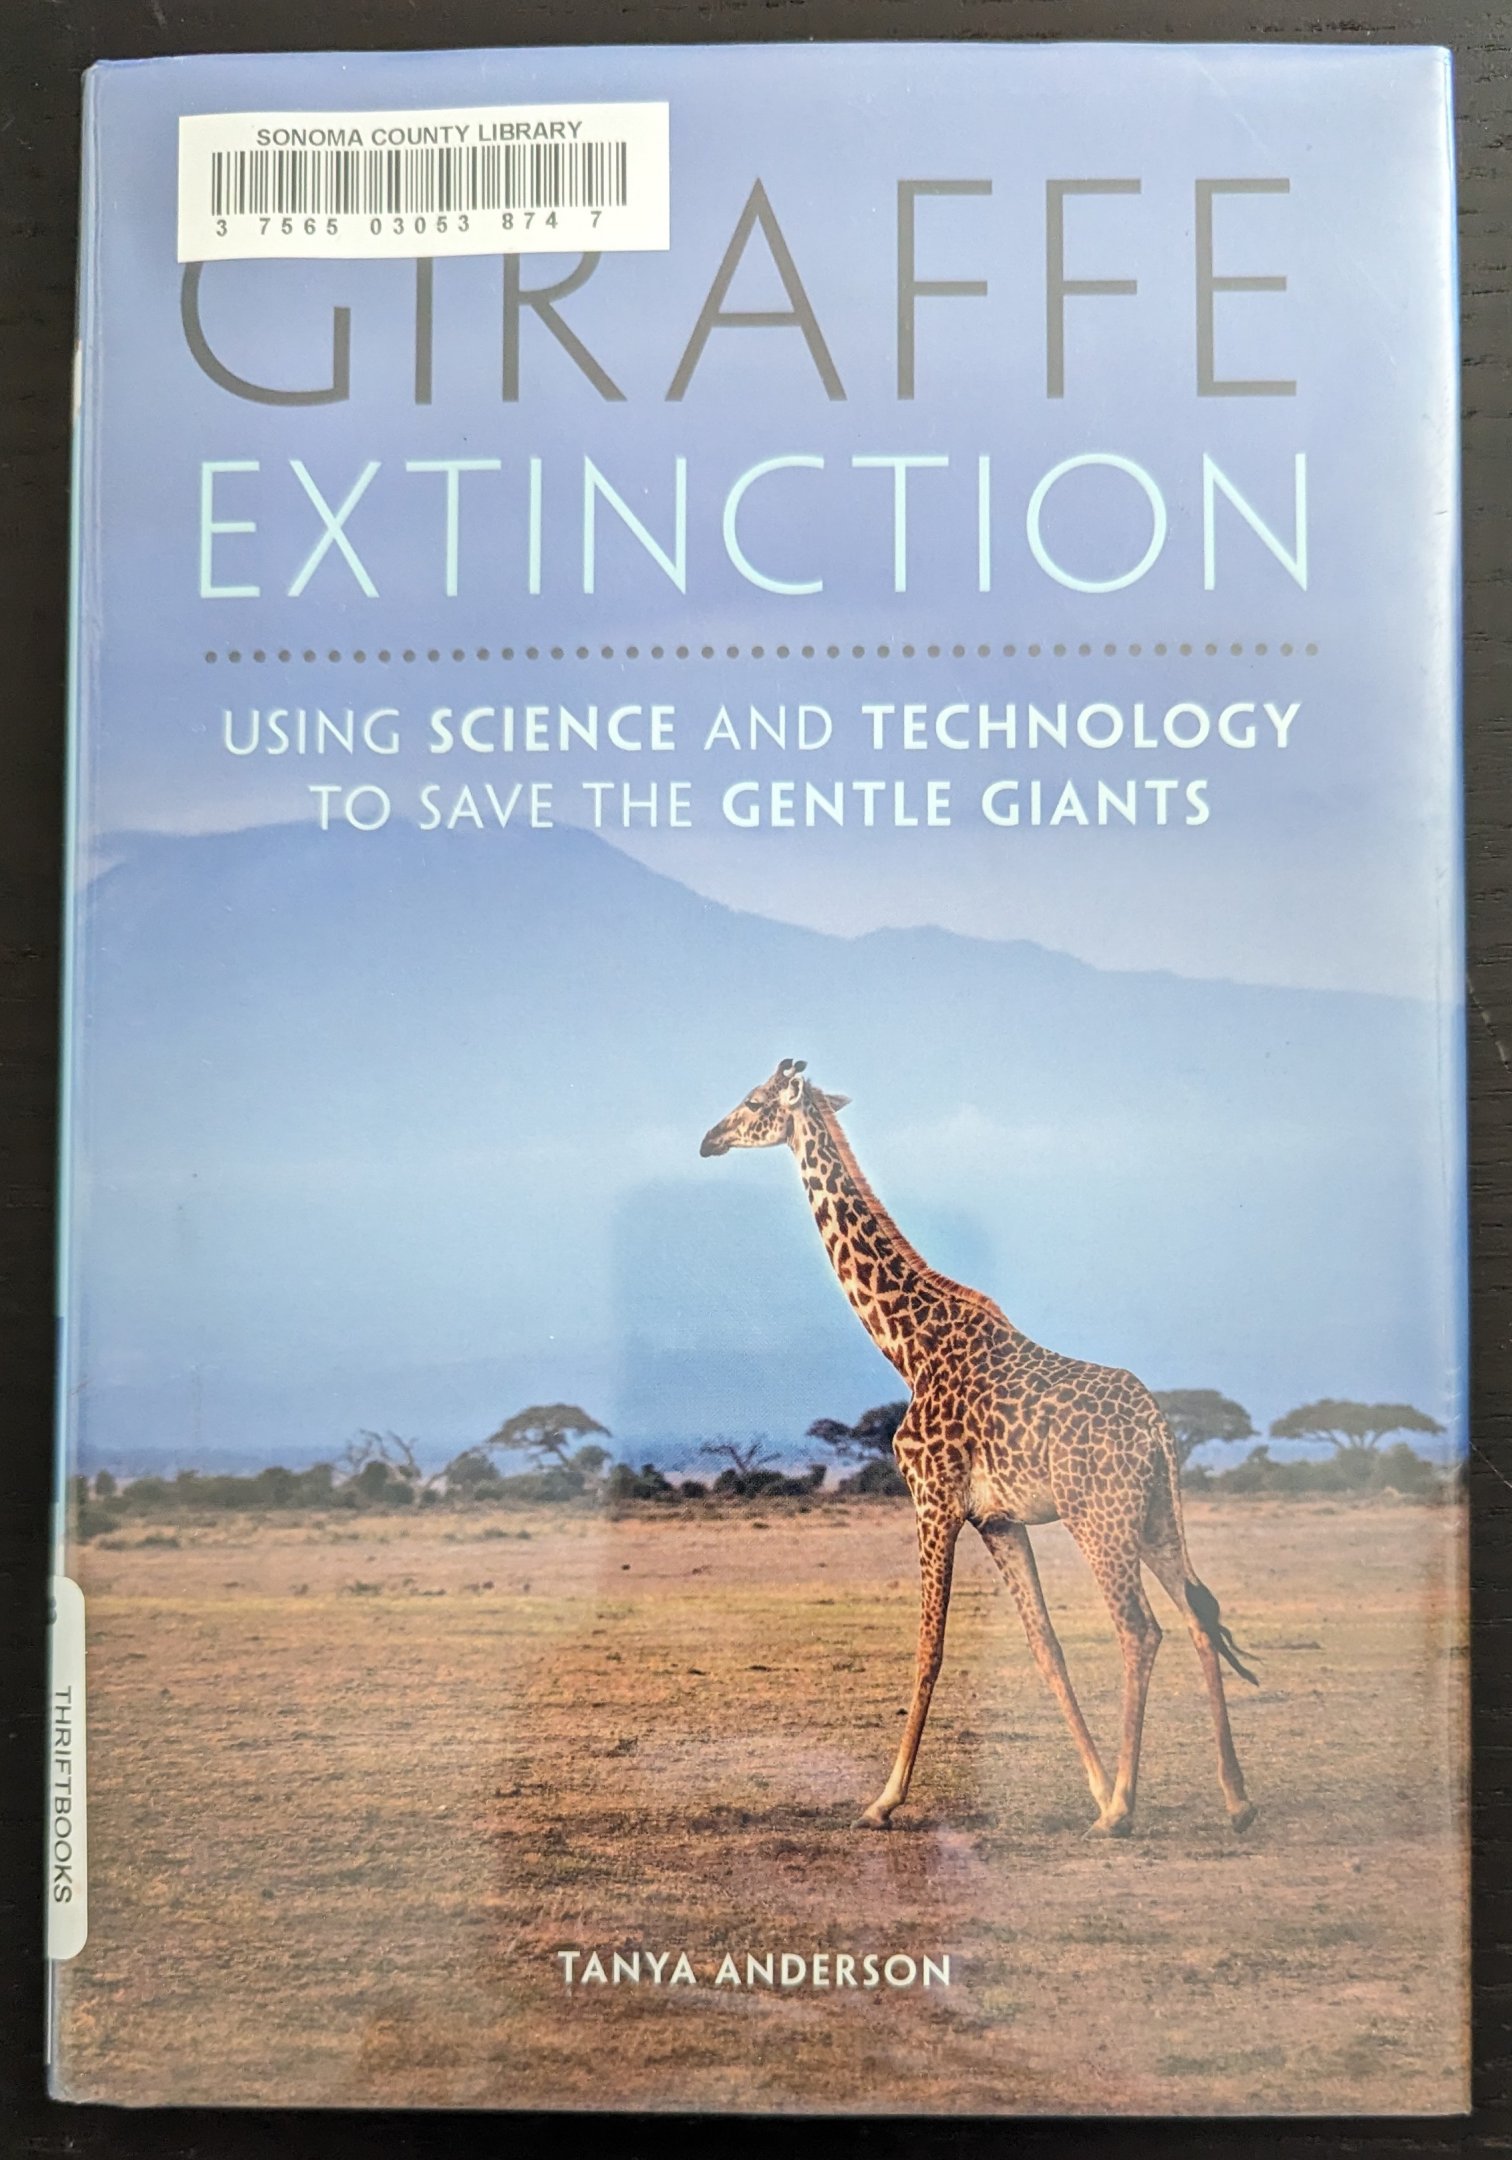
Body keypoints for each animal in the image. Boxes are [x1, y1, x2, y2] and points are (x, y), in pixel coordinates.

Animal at [699, 1058, 1257, 1839]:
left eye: (753, 1101)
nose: (708, 1140)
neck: (907, 1346)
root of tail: (1156, 1428)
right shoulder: (998, 1520)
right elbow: (1045, 1647)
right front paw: (1092, 1783)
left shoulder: (933, 1502)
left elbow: (928, 1650)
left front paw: (883, 1801)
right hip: (1156, 1518)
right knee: (1200, 1619)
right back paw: (1234, 1798)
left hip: (1100, 1520)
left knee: (1141, 1631)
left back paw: (1123, 1809)